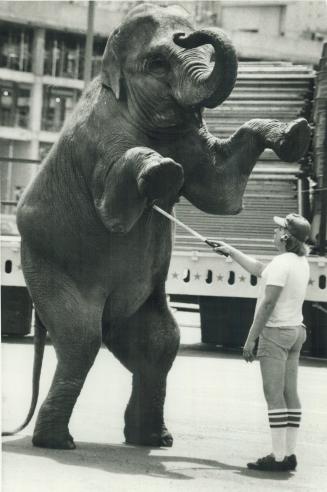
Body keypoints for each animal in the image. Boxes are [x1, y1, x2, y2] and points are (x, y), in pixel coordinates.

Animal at [5, 2, 312, 450]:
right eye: (157, 63)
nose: (192, 32)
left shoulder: (192, 139)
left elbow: (223, 194)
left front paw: (295, 135)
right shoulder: (98, 143)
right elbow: (114, 214)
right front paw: (163, 171)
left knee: (161, 344)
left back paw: (153, 439)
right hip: (46, 267)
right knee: (82, 340)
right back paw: (58, 442)